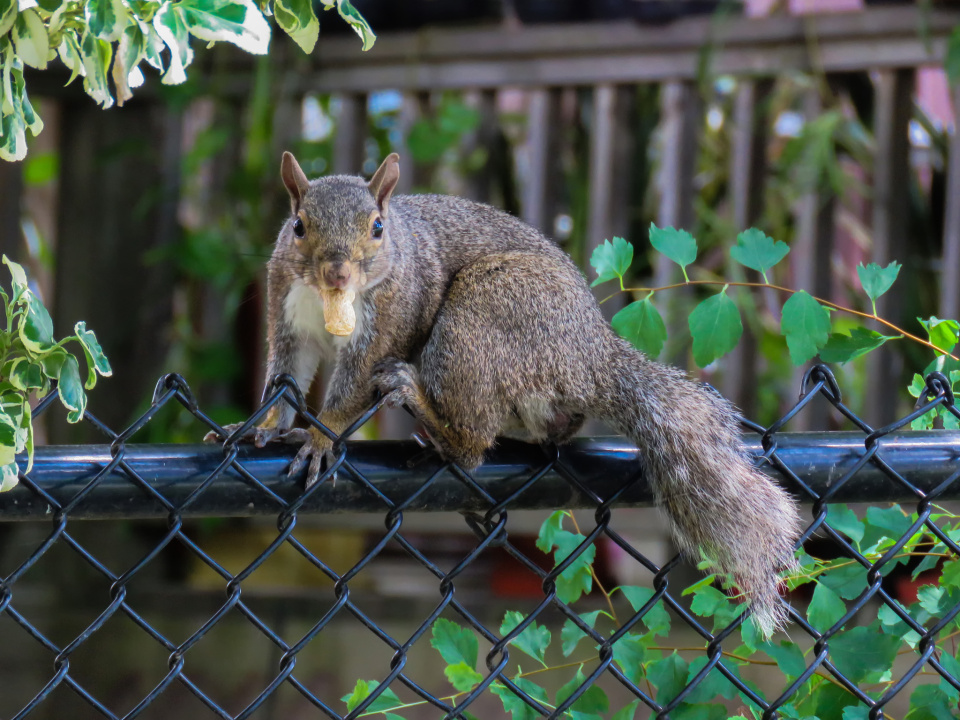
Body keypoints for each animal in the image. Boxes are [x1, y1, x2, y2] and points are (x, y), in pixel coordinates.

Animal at [212, 152, 804, 636]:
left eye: (377, 229)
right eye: (298, 226)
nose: (337, 272)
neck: (328, 300)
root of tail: (589, 356)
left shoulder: (386, 323)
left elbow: (349, 390)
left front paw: (319, 438)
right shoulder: (288, 315)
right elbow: (284, 381)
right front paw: (260, 427)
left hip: (481, 314)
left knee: (472, 446)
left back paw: (423, 407)